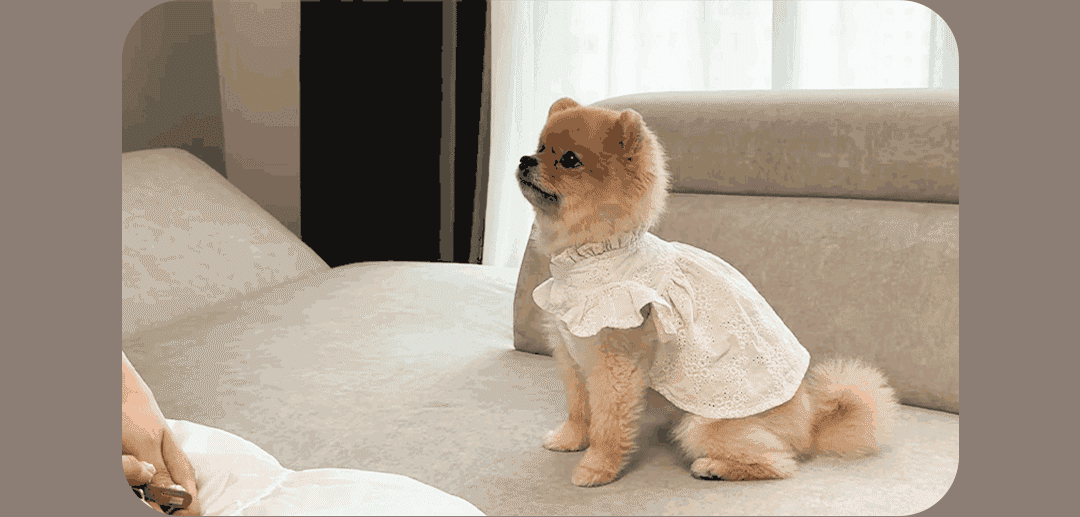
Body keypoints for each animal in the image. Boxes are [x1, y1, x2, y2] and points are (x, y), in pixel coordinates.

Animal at [517, 97, 899, 487]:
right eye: (540, 148)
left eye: (569, 160)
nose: (525, 160)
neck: (594, 255)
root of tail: (811, 426)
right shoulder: (572, 353)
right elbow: (579, 407)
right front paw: (570, 439)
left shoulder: (616, 366)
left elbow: (609, 423)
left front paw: (598, 468)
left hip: (703, 426)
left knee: (780, 463)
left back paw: (713, 467)